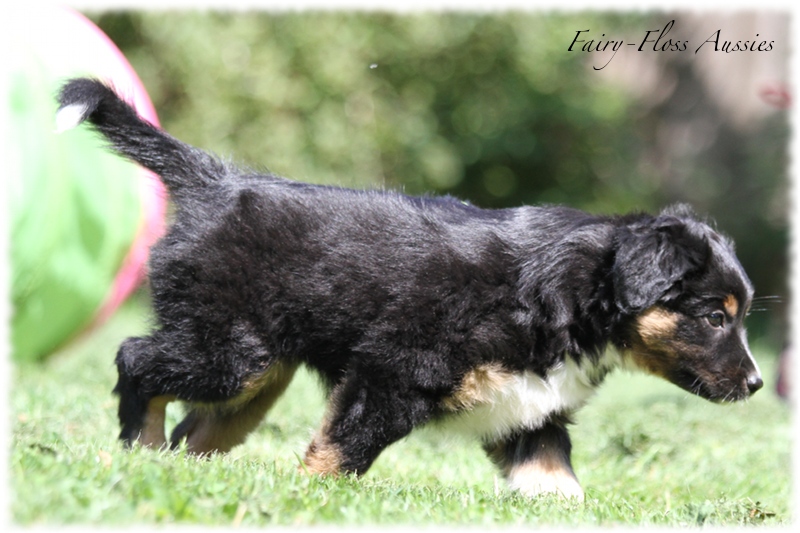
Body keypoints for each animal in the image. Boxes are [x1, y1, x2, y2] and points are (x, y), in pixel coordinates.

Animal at [56, 79, 764, 498]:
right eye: (716, 316)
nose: (758, 385)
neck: (564, 297)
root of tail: (217, 182)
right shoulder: (392, 370)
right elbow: (341, 452)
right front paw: (314, 500)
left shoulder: (529, 409)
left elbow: (558, 483)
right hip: (230, 350)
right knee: (136, 360)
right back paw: (139, 449)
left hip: (257, 375)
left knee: (198, 430)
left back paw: (177, 474)